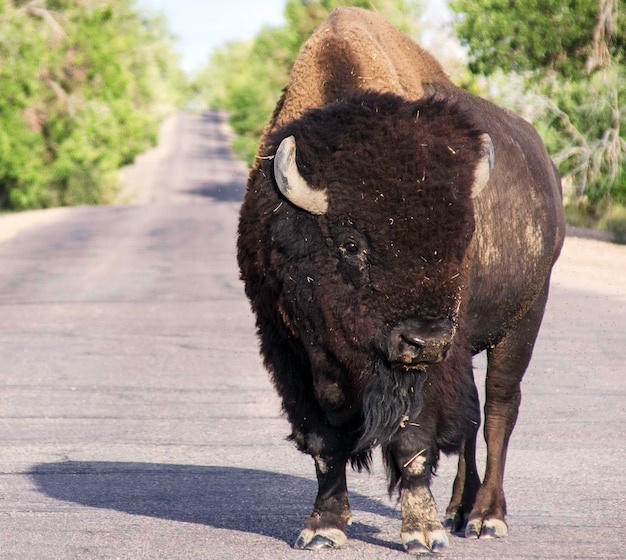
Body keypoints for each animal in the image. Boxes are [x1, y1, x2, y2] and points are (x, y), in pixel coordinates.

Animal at [235, 5, 564, 556]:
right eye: (351, 244)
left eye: (464, 238)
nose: (423, 339)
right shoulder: (289, 349)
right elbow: (323, 443)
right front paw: (323, 527)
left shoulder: (426, 369)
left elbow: (414, 441)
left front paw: (423, 533)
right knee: (472, 420)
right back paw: (458, 509)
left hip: (520, 322)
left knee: (499, 409)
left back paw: (485, 517)